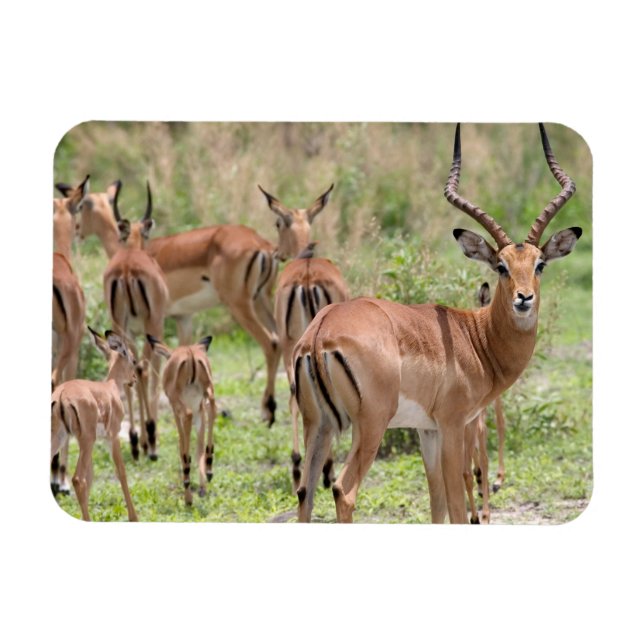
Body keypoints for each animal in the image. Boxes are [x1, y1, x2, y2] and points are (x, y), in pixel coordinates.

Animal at [51, 328, 139, 521]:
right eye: (134, 360)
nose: (134, 379)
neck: (111, 387)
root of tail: (61, 395)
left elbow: (90, 477)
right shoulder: (112, 437)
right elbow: (121, 471)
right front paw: (134, 517)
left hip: (62, 439)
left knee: (81, 478)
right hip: (86, 440)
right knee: (77, 479)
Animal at [76, 180, 334, 426]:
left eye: (83, 206)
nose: (77, 230)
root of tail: (263, 246)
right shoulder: (184, 318)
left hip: (238, 304)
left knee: (270, 342)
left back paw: (267, 412)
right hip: (263, 299)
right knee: (282, 341)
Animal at [147, 335, 217, 505]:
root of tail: (190, 354)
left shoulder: (175, 409)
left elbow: (181, 441)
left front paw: (189, 497)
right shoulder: (200, 410)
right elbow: (199, 446)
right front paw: (202, 488)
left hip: (179, 403)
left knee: (188, 416)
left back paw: (187, 480)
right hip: (208, 391)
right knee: (213, 406)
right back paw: (209, 468)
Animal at [274, 241, 349, 489]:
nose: (277, 253)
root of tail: (307, 275)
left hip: (291, 347)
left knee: (294, 395)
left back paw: (298, 466)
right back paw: (326, 470)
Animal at [293, 123, 581, 524]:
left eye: (540, 264)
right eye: (501, 266)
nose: (524, 298)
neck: (476, 339)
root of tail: (320, 332)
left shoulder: (426, 431)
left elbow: (437, 506)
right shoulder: (452, 425)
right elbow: (458, 506)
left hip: (317, 424)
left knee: (304, 492)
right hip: (369, 425)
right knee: (343, 490)